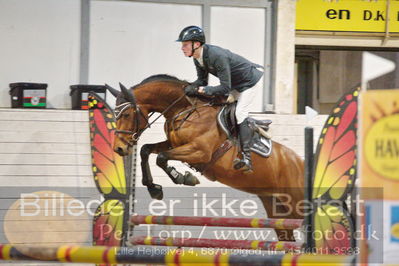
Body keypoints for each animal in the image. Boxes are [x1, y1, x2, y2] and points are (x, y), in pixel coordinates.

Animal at [106, 74, 304, 241]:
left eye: (126, 114)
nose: (119, 148)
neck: (185, 109)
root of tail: (300, 163)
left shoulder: (200, 151)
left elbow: (161, 158)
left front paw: (184, 178)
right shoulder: (173, 144)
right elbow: (146, 150)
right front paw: (154, 188)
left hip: (297, 204)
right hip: (277, 209)